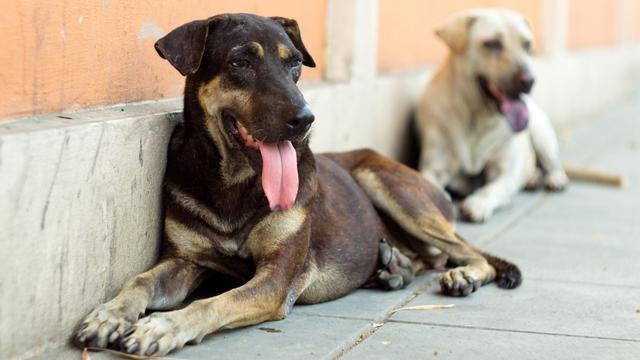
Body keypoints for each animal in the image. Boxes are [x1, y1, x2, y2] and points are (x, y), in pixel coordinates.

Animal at [72, 14, 520, 358]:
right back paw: (394, 270)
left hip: (388, 185)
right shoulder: (185, 261)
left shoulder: (274, 280)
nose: (305, 119)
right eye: (240, 62)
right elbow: (141, 282)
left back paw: (461, 275)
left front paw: (161, 328)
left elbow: (211, 303)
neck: (235, 183)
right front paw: (109, 315)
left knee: (465, 252)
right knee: (428, 256)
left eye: (296, 65)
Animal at [418, 9, 568, 222]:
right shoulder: (434, 167)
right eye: (492, 44)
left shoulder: (504, 174)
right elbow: (432, 186)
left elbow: (491, 189)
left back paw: (555, 179)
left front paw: (477, 204)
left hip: (541, 133)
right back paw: (533, 178)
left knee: (552, 162)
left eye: (527, 44)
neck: (477, 118)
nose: (529, 80)